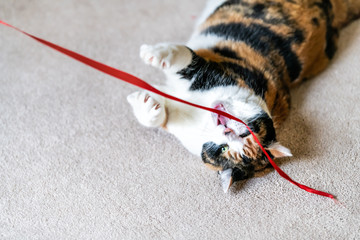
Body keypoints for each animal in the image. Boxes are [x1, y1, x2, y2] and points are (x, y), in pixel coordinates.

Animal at [126, 0, 360, 191]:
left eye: (224, 148)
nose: (227, 130)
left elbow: (165, 112)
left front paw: (142, 99)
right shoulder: (212, 71)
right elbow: (183, 57)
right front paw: (154, 60)